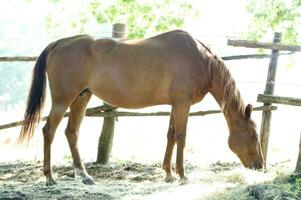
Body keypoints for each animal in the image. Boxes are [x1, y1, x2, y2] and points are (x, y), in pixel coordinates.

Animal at [18, 30, 262, 186]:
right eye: (253, 136)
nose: (260, 166)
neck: (201, 60)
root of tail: (58, 43)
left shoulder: (175, 104)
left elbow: (171, 136)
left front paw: (168, 174)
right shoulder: (183, 104)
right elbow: (181, 137)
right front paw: (182, 176)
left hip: (81, 98)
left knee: (71, 133)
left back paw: (84, 175)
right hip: (63, 100)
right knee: (49, 131)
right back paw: (50, 178)